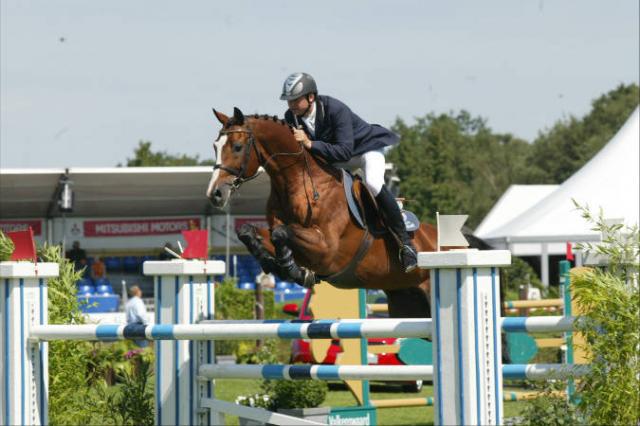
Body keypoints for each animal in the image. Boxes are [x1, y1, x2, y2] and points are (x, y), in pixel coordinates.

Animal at [207, 107, 438, 319]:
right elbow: (250, 231)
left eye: (237, 147)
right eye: (215, 146)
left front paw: (293, 270)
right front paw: (274, 263)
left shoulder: (326, 249)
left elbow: (281, 233)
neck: (298, 182)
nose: (215, 194)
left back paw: (409, 254)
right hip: (406, 302)